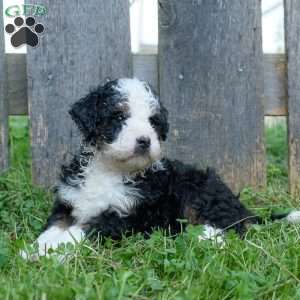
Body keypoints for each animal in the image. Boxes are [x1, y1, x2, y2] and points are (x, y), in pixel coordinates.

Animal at [22, 78, 300, 258]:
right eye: (119, 117)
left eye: (153, 122)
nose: (144, 141)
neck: (110, 169)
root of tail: (243, 209)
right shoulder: (68, 203)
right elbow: (56, 225)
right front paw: (37, 248)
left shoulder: (124, 216)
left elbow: (82, 230)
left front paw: (53, 250)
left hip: (200, 191)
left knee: (231, 228)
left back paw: (202, 238)